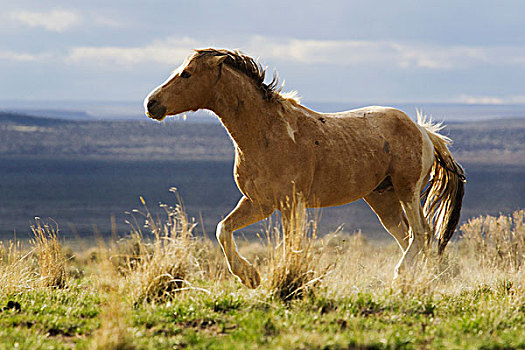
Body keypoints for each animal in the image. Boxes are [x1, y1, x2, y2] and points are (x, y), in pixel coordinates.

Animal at [142, 50, 462, 290]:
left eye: (187, 73)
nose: (151, 104)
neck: (267, 133)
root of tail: (423, 131)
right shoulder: (259, 203)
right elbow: (224, 229)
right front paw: (250, 277)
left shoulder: (290, 204)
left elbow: (290, 245)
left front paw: (283, 278)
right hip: (383, 199)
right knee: (410, 236)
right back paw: (416, 280)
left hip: (407, 191)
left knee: (421, 233)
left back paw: (401, 276)